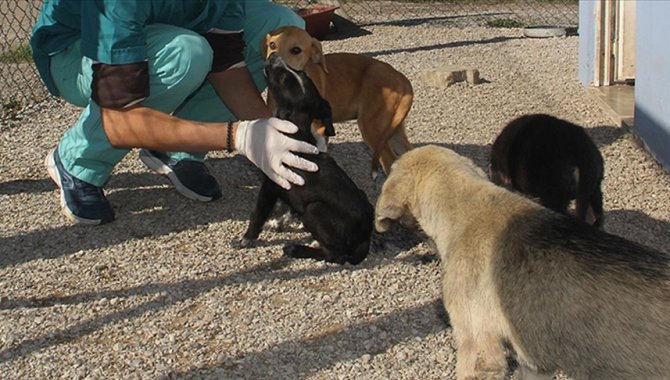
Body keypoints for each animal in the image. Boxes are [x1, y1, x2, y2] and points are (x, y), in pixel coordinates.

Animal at [238, 53, 376, 266]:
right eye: (299, 72)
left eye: (283, 79)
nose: (274, 55)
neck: (295, 131)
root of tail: (365, 239)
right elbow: (286, 206)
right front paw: (280, 221)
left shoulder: (270, 184)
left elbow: (259, 213)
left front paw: (248, 237)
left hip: (315, 209)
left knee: (333, 255)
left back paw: (296, 249)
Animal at [262, 25, 414, 177]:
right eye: (272, 45)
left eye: (296, 50)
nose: (271, 61)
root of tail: (402, 78)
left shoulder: (319, 130)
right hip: (392, 129)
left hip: (373, 130)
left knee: (390, 162)